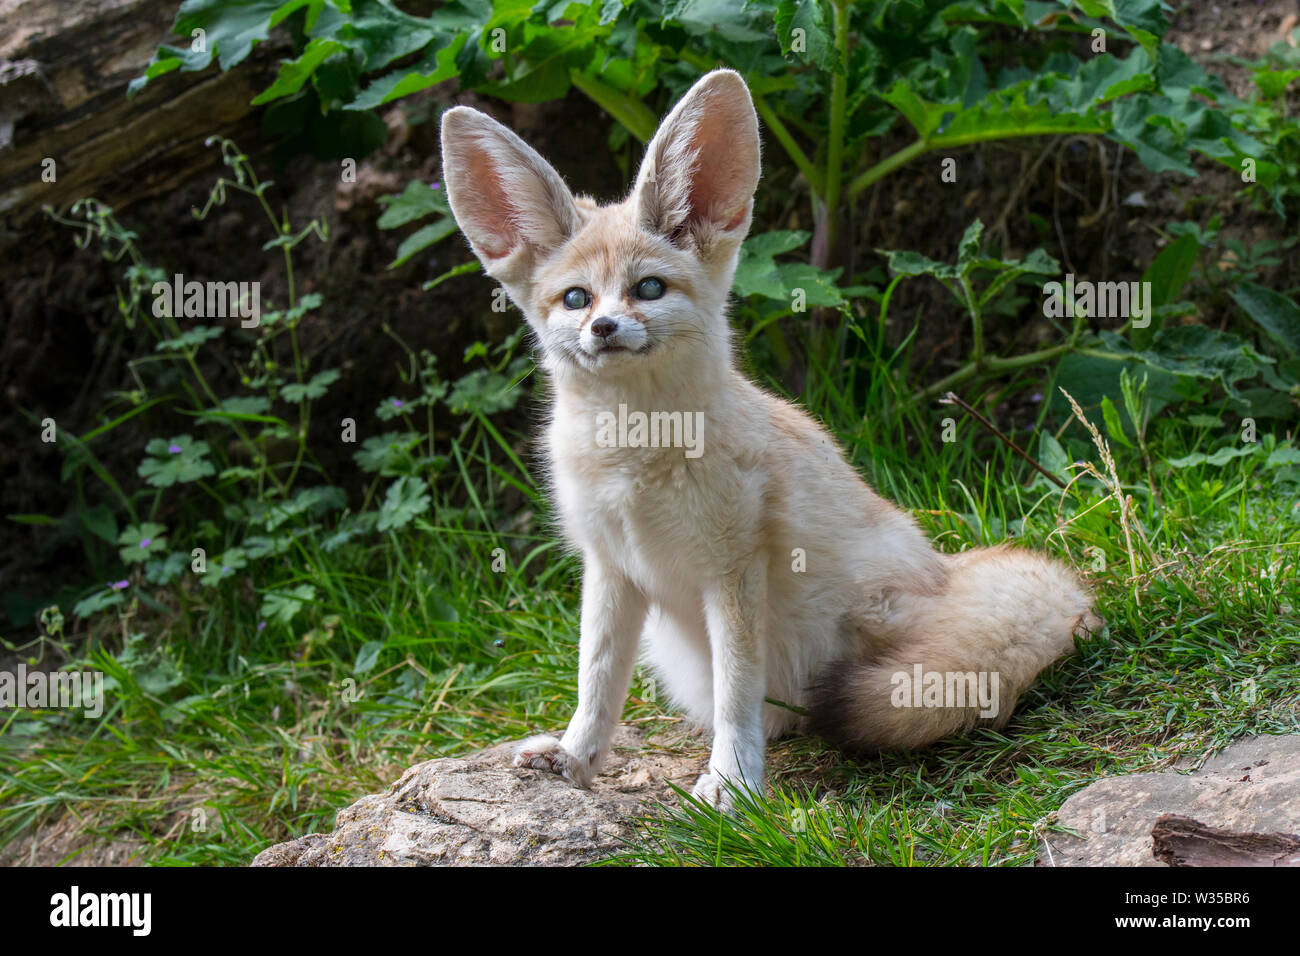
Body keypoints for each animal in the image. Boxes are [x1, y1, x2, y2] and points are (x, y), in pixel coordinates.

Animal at [441, 70, 1102, 811]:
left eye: (648, 288)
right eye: (577, 299)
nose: (604, 329)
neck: (635, 458)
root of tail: (949, 570)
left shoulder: (733, 569)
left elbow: (736, 692)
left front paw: (731, 783)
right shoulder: (610, 568)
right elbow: (597, 682)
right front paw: (577, 758)